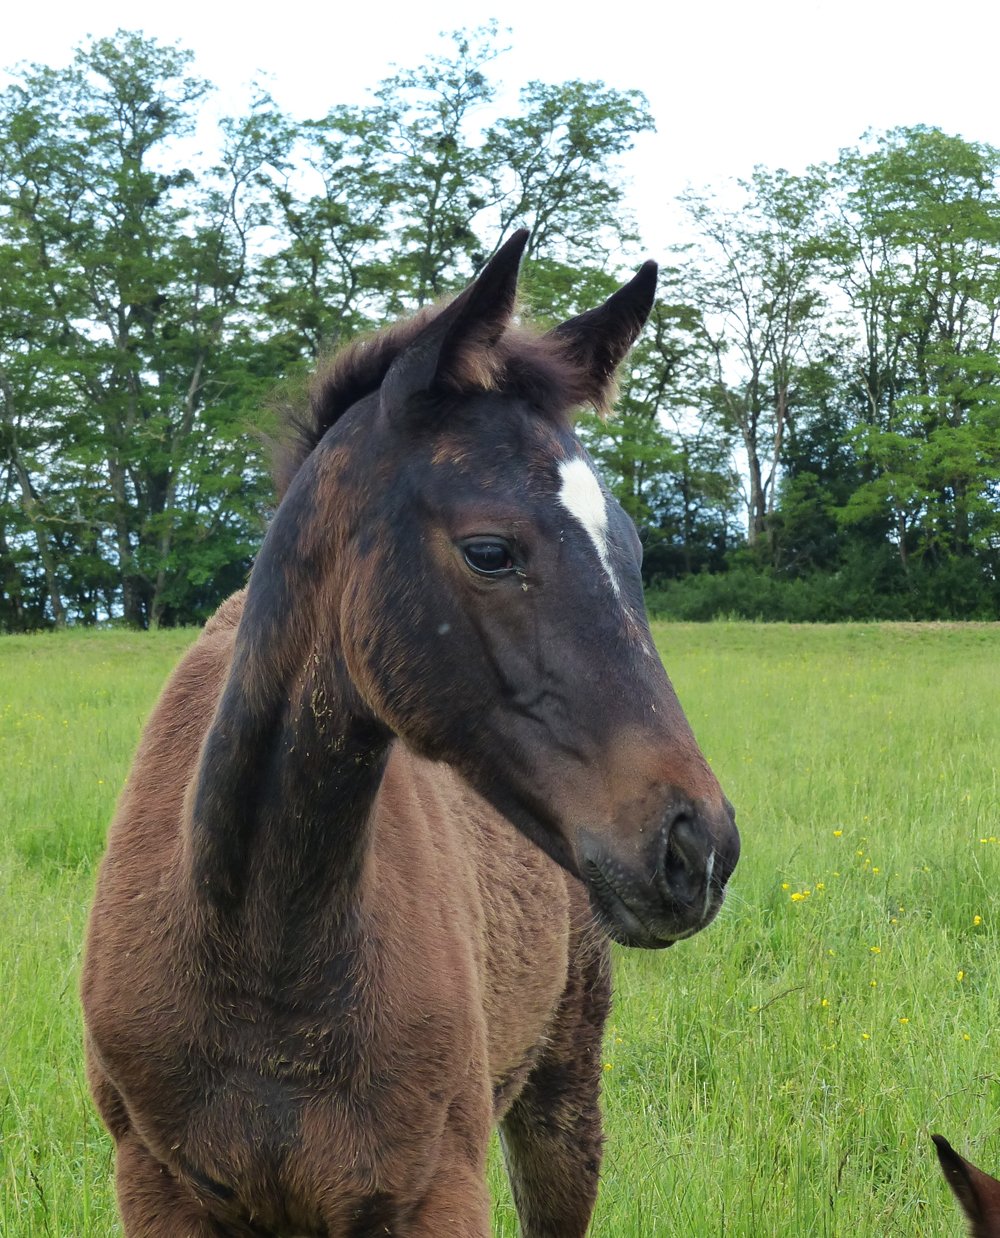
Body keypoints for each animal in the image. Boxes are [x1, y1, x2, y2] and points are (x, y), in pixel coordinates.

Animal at [81, 230, 740, 1237]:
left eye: (631, 551)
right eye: (490, 551)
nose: (696, 848)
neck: (256, 948)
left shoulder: (437, 1186)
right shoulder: (155, 1188)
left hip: (563, 1099)